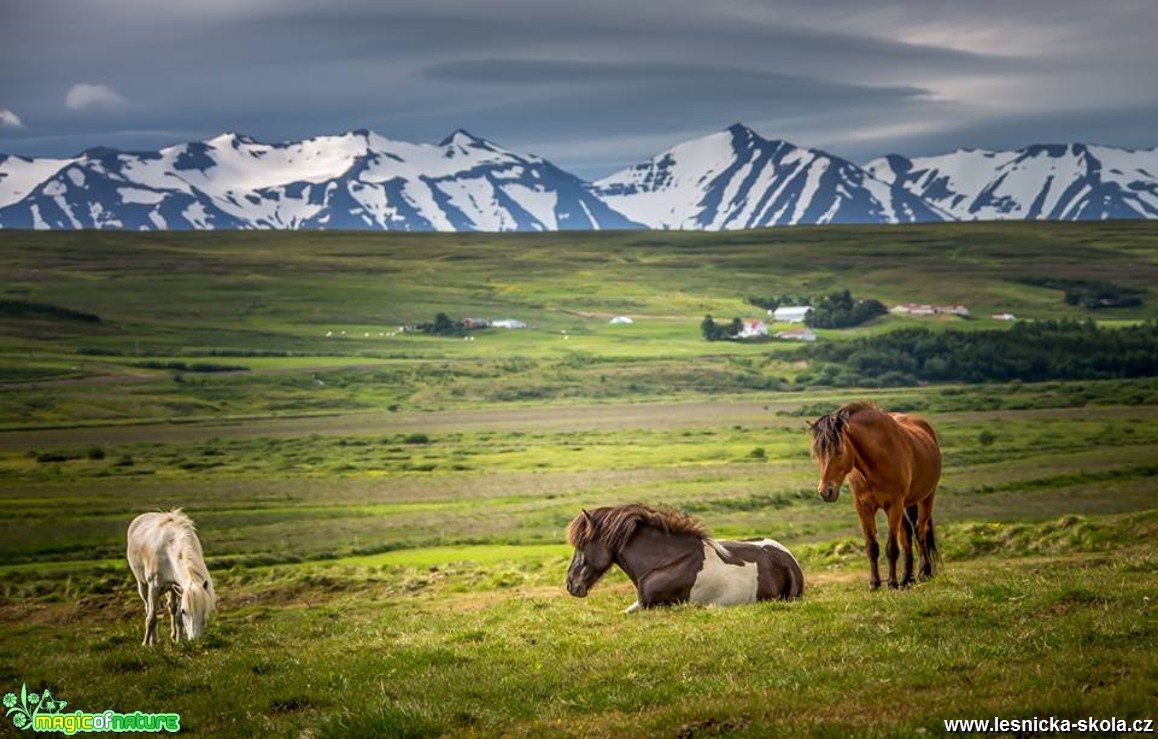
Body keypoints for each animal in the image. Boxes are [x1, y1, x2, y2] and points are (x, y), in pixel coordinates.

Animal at [127, 511, 217, 644]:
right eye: (185, 611)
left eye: (204, 610)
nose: (194, 640)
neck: (169, 551)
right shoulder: (154, 587)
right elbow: (151, 618)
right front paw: (145, 644)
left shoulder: (180, 588)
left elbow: (178, 618)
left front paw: (178, 642)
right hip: (142, 585)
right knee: (148, 609)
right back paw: (153, 640)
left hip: (173, 589)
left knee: (172, 609)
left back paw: (172, 636)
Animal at [805, 403, 940, 593]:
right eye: (818, 453)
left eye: (839, 450)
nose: (825, 491)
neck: (877, 460)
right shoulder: (863, 507)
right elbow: (872, 547)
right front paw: (874, 583)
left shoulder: (894, 505)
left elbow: (892, 547)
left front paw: (891, 583)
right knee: (907, 536)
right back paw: (907, 578)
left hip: (926, 497)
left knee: (920, 530)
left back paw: (924, 572)